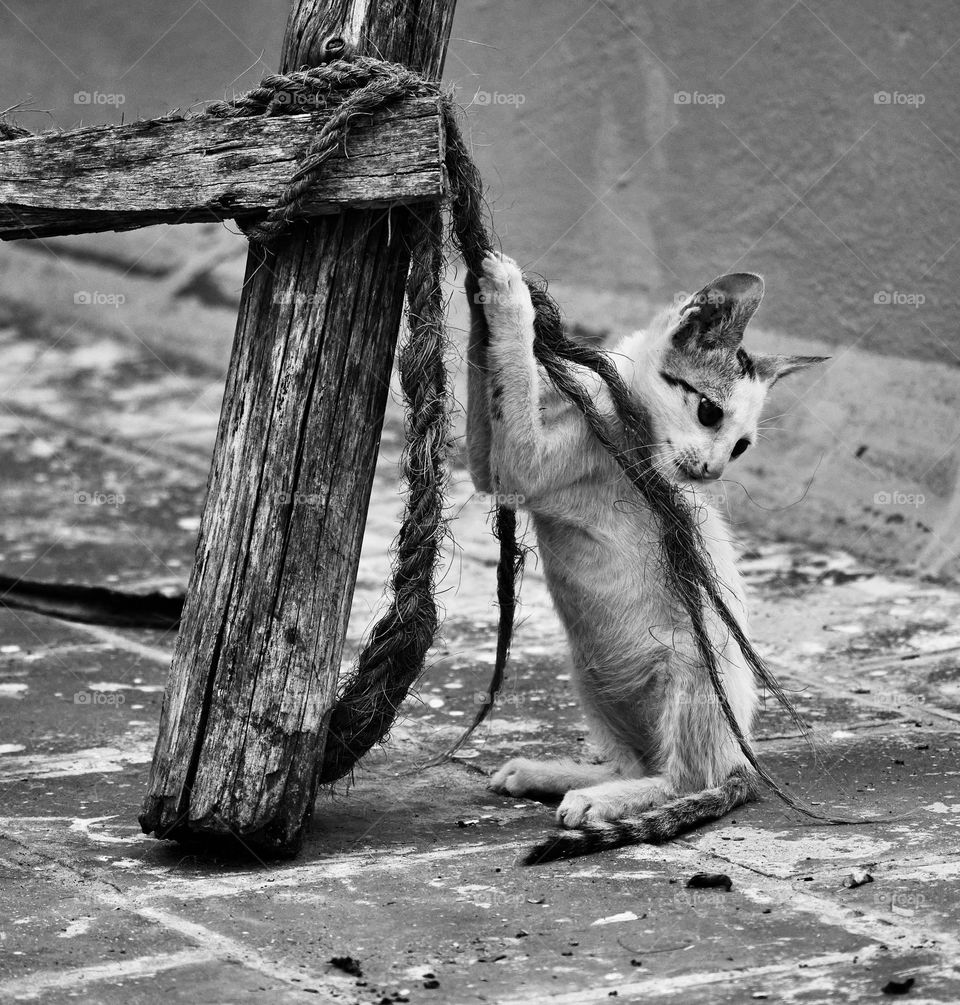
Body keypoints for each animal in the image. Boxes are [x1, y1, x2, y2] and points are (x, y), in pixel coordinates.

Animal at [466, 251, 824, 864]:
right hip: (588, 666)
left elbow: (510, 389)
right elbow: (482, 397)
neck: (619, 409)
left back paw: (602, 801)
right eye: (709, 413)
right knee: (637, 761)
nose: (711, 472)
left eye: (741, 447)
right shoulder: (490, 464)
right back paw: (560, 776)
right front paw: (472, 297)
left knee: (687, 779)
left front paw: (508, 301)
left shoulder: (520, 467)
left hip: (692, 665)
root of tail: (744, 758)